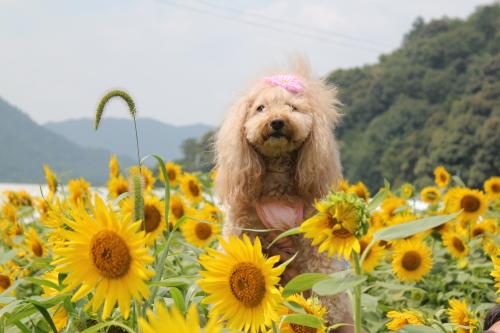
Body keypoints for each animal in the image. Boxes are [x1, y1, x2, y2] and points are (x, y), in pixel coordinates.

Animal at [213, 60, 354, 330]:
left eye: (293, 107)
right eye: (260, 108)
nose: (277, 121)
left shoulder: (312, 240)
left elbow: (322, 282)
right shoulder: (242, 228)